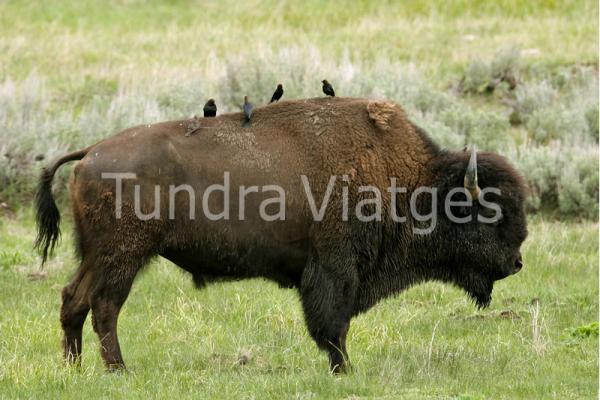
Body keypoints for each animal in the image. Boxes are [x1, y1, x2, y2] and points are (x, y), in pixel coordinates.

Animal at [35, 97, 528, 372]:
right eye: (488, 213)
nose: (517, 262)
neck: (407, 182)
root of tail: (90, 152)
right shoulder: (334, 270)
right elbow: (333, 325)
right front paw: (345, 370)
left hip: (96, 255)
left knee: (73, 299)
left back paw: (74, 368)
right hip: (123, 256)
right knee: (104, 307)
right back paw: (119, 370)